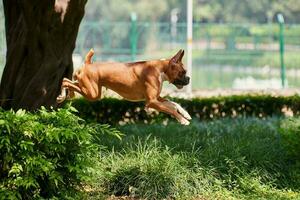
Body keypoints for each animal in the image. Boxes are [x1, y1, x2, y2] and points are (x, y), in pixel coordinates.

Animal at [56, 49, 192, 125]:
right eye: (183, 72)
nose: (189, 78)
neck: (160, 68)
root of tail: (88, 63)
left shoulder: (157, 99)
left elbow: (174, 104)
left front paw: (185, 114)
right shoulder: (152, 102)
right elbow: (171, 109)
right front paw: (183, 120)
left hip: (87, 87)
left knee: (66, 80)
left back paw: (65, 95)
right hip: (92, 93)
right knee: (66, 82)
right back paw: (65, 95)